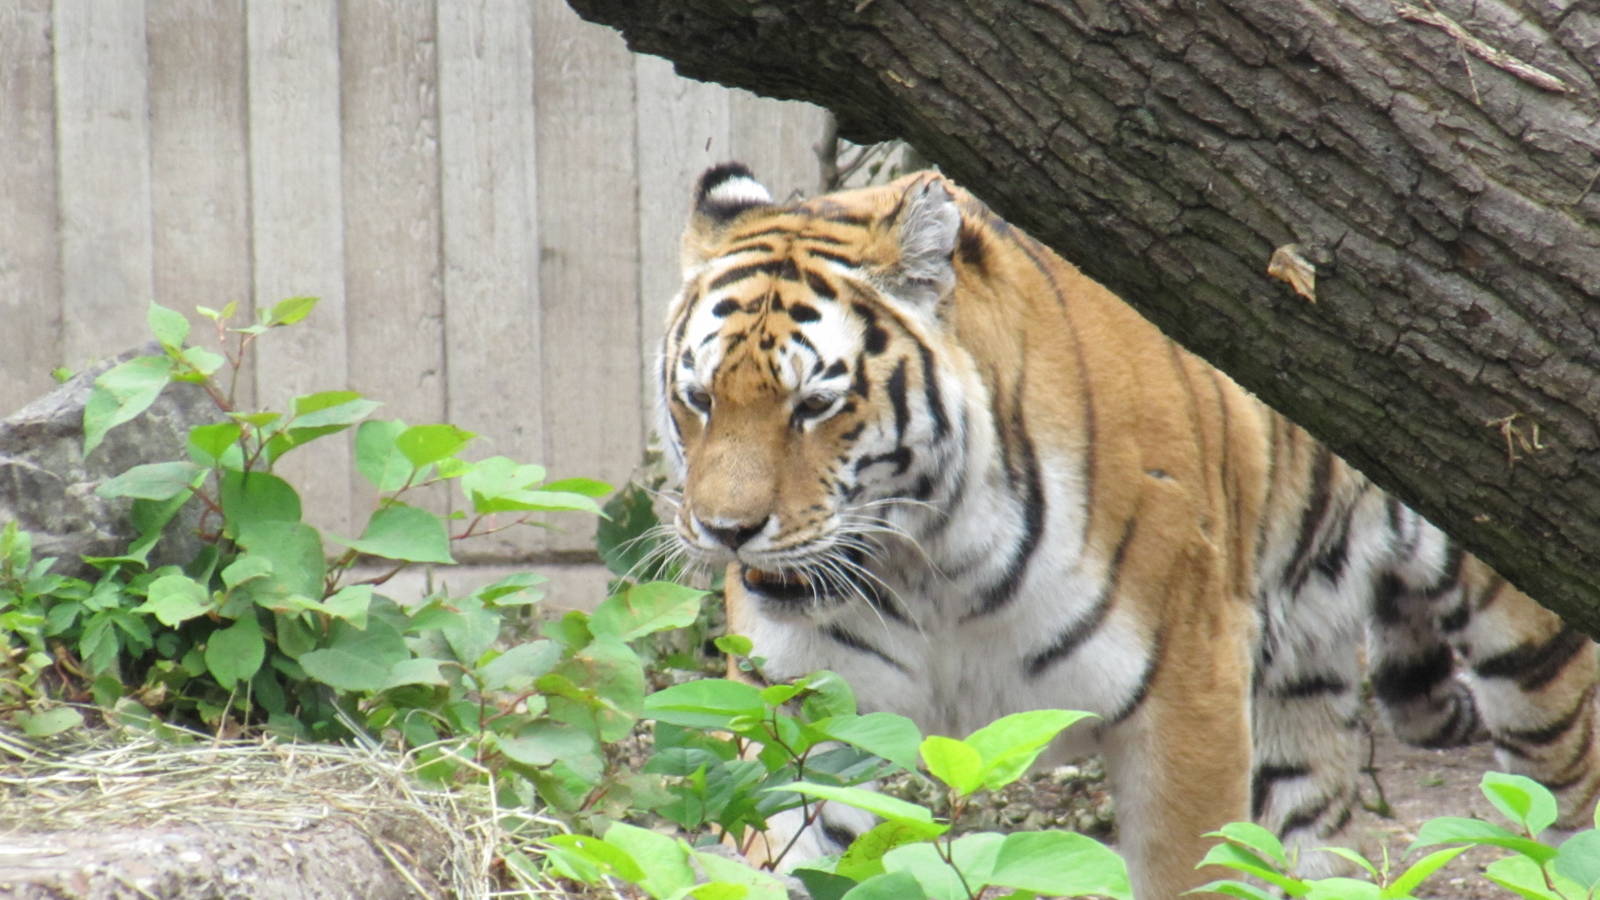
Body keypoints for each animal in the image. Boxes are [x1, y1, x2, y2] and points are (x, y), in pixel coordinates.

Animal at [654, 163, 1600, 899]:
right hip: (1296, 680)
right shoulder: (813, 720)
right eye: (698, 397)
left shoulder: (1189, 696)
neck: (930, 567)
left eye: (816, 404)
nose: (726, 532)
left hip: (1531, 656)